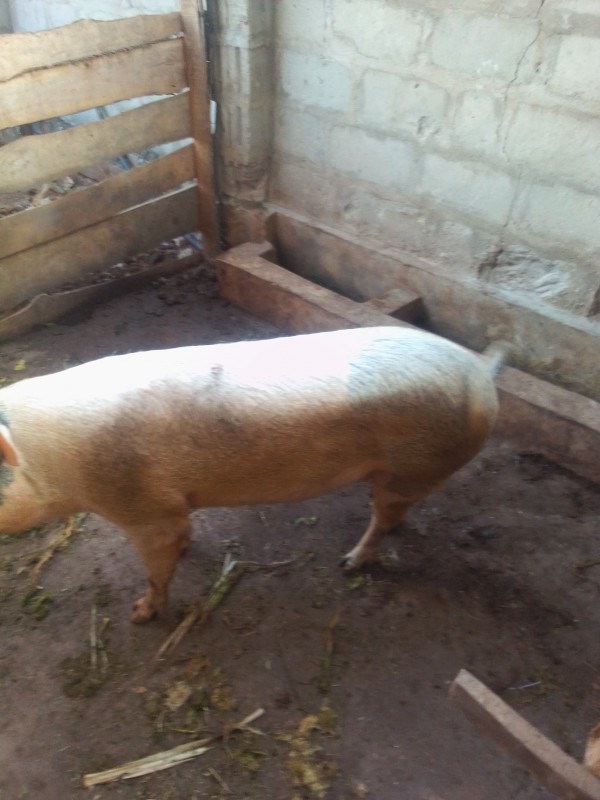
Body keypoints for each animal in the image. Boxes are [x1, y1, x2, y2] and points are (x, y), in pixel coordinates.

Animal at [0, 326, 507, 623]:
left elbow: (157, 569)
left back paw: (348, 562)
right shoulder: (173, 506)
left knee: (381, 519)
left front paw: (139, 613)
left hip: (414, 464)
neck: (49, 463)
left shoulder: (144, 510)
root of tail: (480, 372)